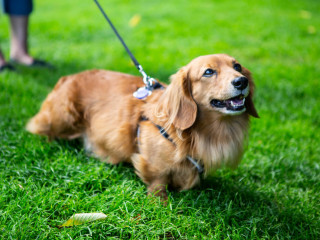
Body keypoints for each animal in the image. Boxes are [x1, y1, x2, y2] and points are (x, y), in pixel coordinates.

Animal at [26, 54, 258, 197]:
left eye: (237, 66)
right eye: (208, 72)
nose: (241, 81)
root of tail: (67, 77)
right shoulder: (153, 166)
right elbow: (158, 182)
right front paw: (160, 202)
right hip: (62, 117)